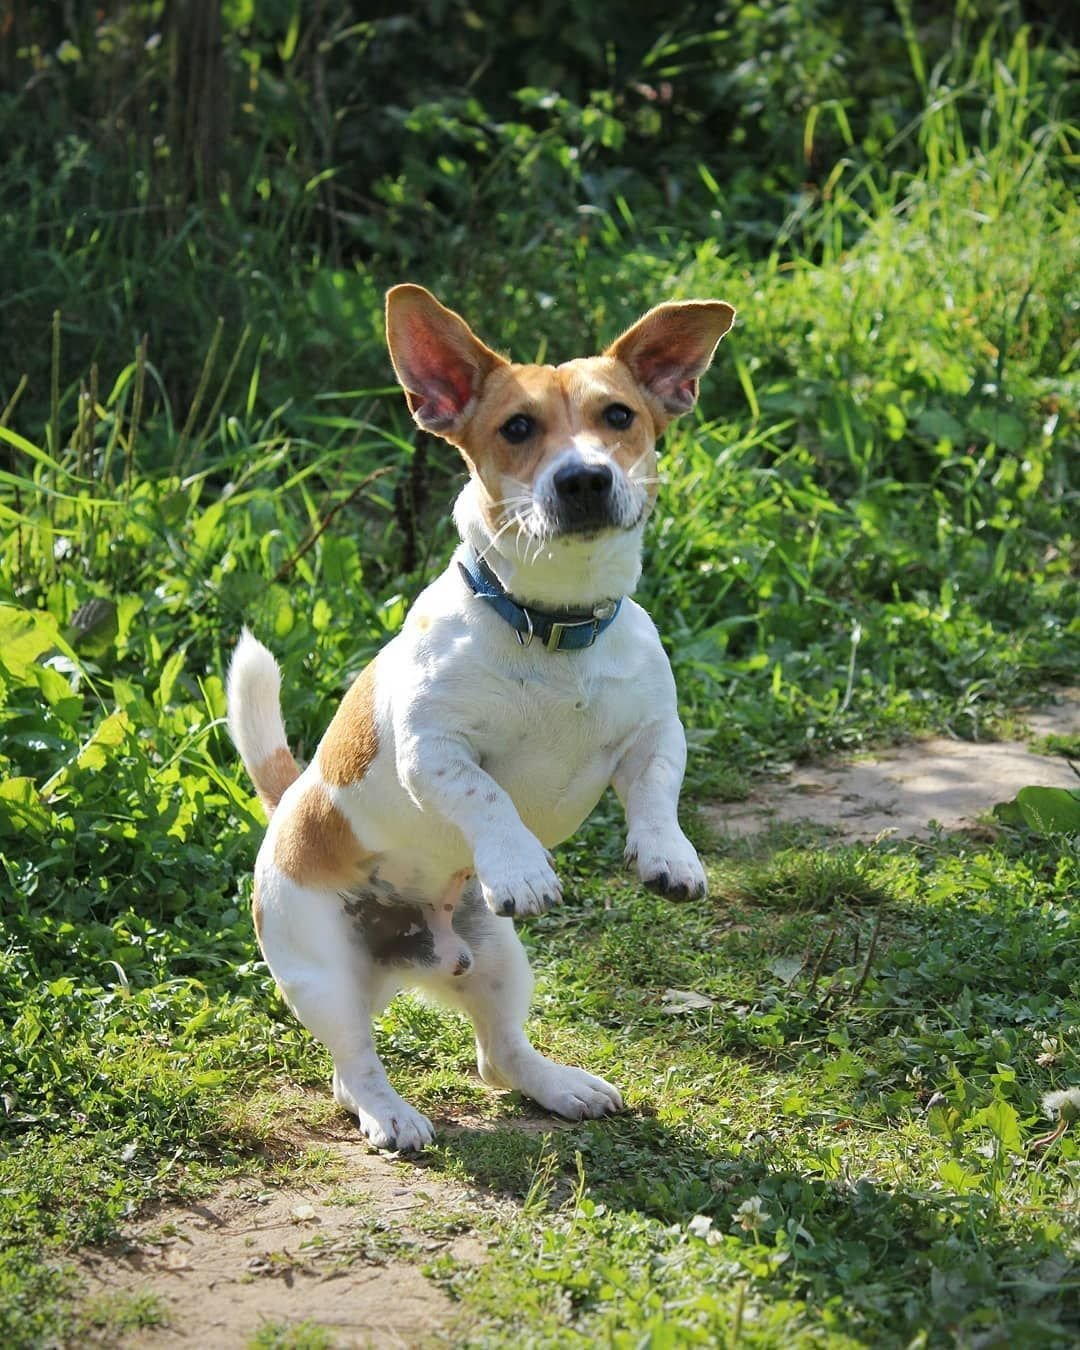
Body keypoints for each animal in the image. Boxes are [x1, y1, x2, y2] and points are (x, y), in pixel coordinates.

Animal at [226, 284, 734, 1150]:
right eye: (517, 428)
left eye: (619, 416)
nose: (585, 479)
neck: (554, 624)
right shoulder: (433, 749)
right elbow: (487, 797)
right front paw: (522, 866)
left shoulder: (654, 732)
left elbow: (657, 790)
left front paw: (668, 856)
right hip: (322, 976)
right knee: (353, 1065)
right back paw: (391, 1114)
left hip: (497, 959)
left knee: (498, 1056)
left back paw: (560, 1085)